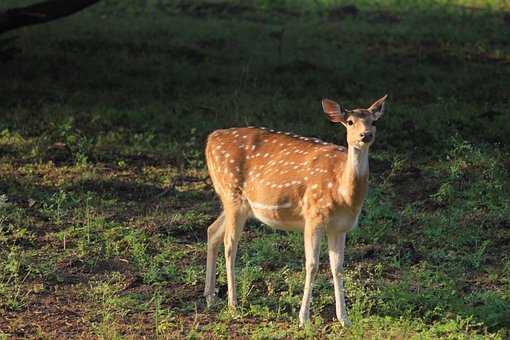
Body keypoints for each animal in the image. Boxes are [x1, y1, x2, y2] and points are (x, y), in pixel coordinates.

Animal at [203, 94, 386, 326]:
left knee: (212, 231)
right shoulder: (313, 216)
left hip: (236, 204)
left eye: (374, 121)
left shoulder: (340, 227)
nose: (366, 135)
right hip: (232, 194)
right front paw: (303, 318)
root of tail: (211, 138)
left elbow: (338, 267)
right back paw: (233, 304)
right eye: (350, 122)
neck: (344, 193)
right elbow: (312, 264)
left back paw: (210, 297)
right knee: (229, 243)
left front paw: (344, 319)